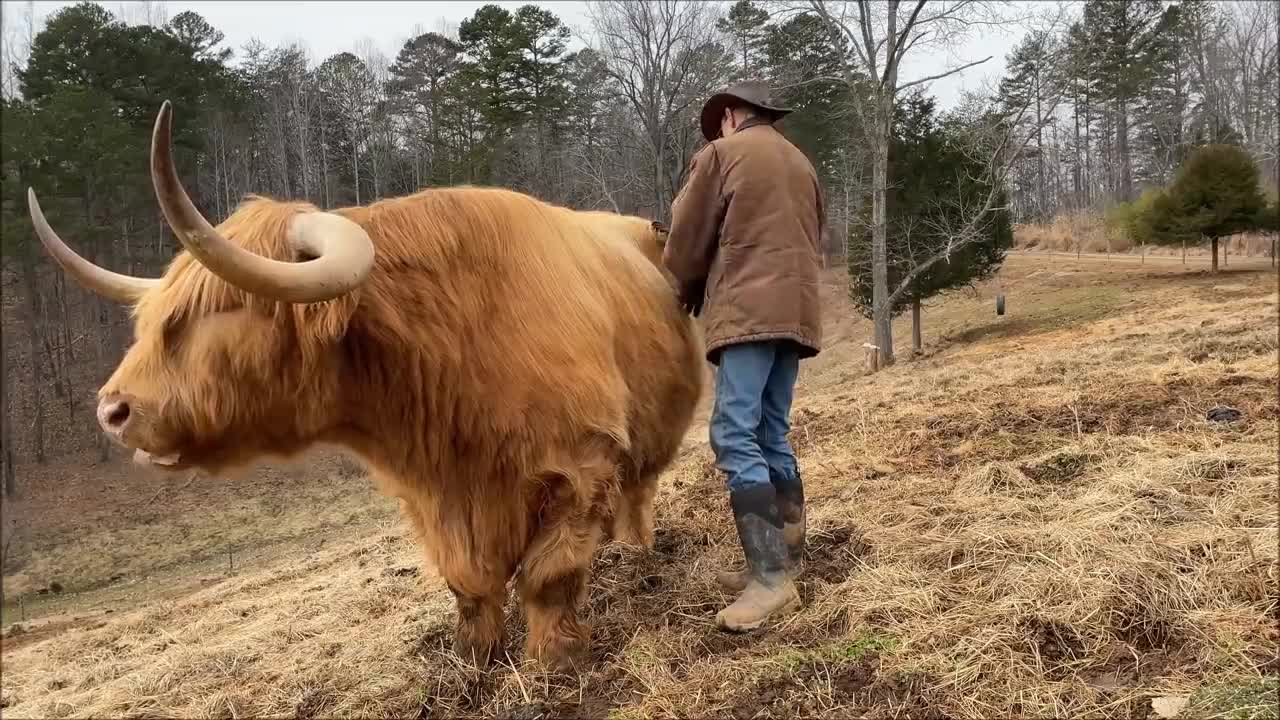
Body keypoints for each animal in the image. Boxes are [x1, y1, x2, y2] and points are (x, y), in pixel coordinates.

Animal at [30, 99, 706, 666]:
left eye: (220, 307)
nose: (112, 411)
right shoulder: (434, 497)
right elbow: (468, 586)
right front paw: (475, 662)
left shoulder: (581, 463)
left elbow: (549, 577)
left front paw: (554, 664)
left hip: (643, 456)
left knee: (637, 501)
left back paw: (637, 556)